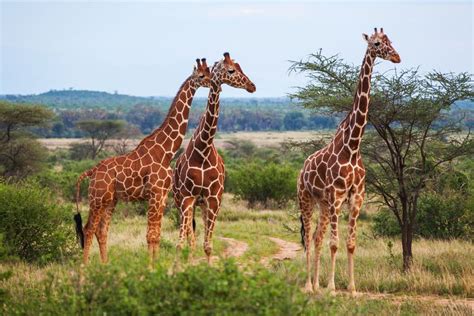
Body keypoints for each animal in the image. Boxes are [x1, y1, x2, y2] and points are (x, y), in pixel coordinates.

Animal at [74, 58, 211, 264]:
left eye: (209, 72)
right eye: (202, 75)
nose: (213, 83)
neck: (166, 152)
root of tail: (92, 171)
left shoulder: (162, 196)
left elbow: (157, 234)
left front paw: (156, 263)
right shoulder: (154, 194)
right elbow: (151, 235)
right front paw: (150, 265)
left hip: (110, 200)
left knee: (102, 230)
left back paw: (105, 265)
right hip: (97, 198)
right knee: (89, 228)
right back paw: (85, 265)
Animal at [172, 53, 256, 262]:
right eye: (231, 70)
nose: (252, 86)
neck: (204, 149)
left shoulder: (214, 198)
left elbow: (208, 245)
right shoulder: (187, 197)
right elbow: (182, 243)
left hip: (203, 204)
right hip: (181, 200)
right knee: (189, 235)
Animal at [300, 29, 400, 294]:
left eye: (390, 41)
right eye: (377, 43)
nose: (396, 57)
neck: (353, 146)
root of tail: (302, 168)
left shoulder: (357, 196)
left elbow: (350, 243)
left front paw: (352, 288)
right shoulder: (337, 195)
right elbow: (335, 243)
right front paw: (333, 287)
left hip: (324, 205)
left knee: (317, 237)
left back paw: (315, 285)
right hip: (306, 199)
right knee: (308, 238)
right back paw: (308, 285)